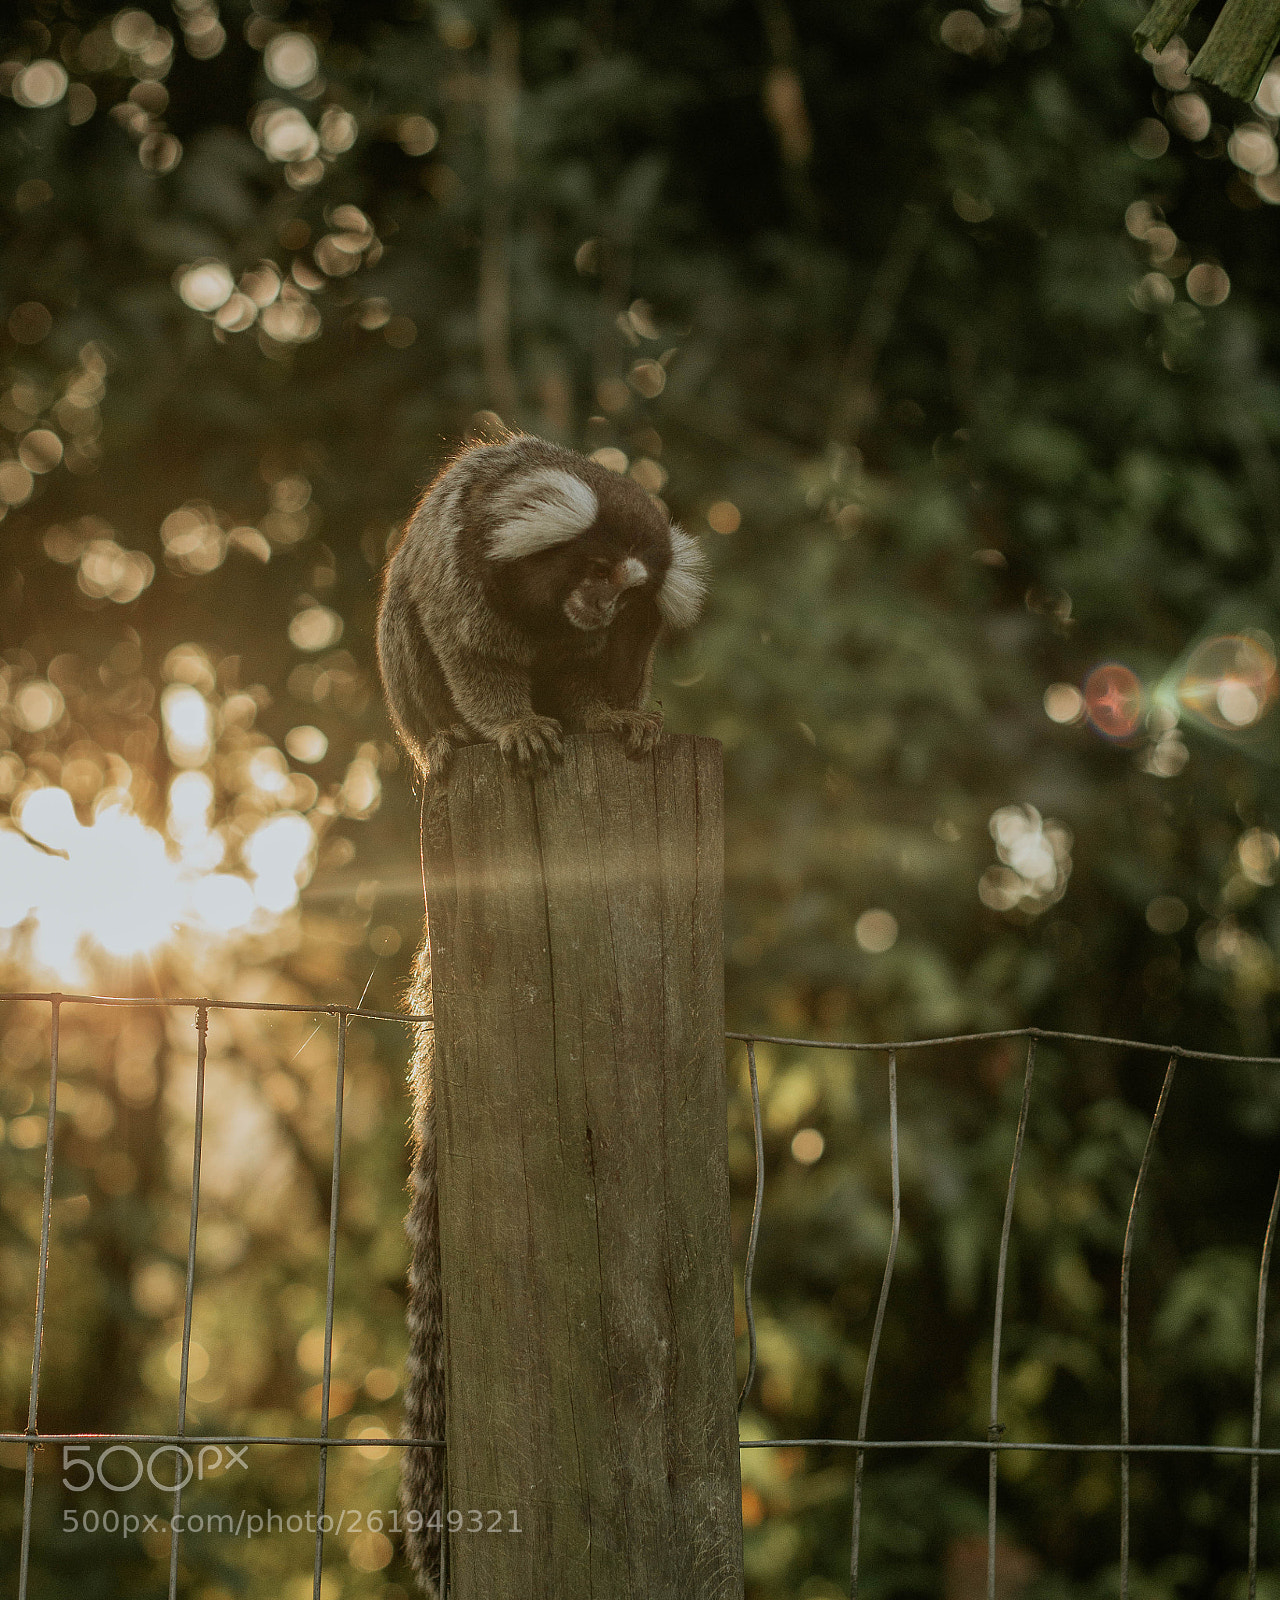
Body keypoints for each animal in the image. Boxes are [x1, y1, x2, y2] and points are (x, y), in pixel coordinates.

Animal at [377, 434, 707, 1594]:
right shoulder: (466, 578)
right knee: (411, 653)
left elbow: (604, 684)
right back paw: (450, 746)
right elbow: (470, 651)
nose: (599, 606)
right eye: (593, 569)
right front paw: (510, 723)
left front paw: (613, 716)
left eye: (629, 590)